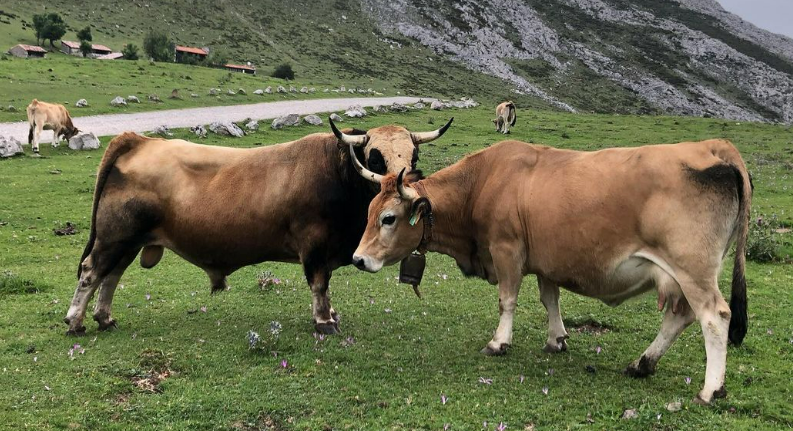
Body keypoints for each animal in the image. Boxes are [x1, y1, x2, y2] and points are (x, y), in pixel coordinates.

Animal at [65, 118, 454, 338]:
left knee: (111, 277)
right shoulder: (314, 246)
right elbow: (319, 284)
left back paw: (104, 318)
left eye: (414, 156)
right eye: (375, 157)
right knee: (91, 273)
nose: (409, 192)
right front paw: (324, 322)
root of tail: (139, 140)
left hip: (128, 242)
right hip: (113, 238)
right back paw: (76, 321)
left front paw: (330, 314)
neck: (338, 172)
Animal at [352, 140, 748, 406]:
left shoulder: (507, 250)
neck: (482, 181)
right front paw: (556, 339)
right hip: (679, 277)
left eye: (388, 218)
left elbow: (507, 299)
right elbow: (549, 299)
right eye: (369, 211)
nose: (358, 259)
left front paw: (499, 342)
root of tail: (715, 148)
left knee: (714, 317)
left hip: (692, 270)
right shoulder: (545, 260)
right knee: (679, 318)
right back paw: (642, 364)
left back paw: (710, 389)